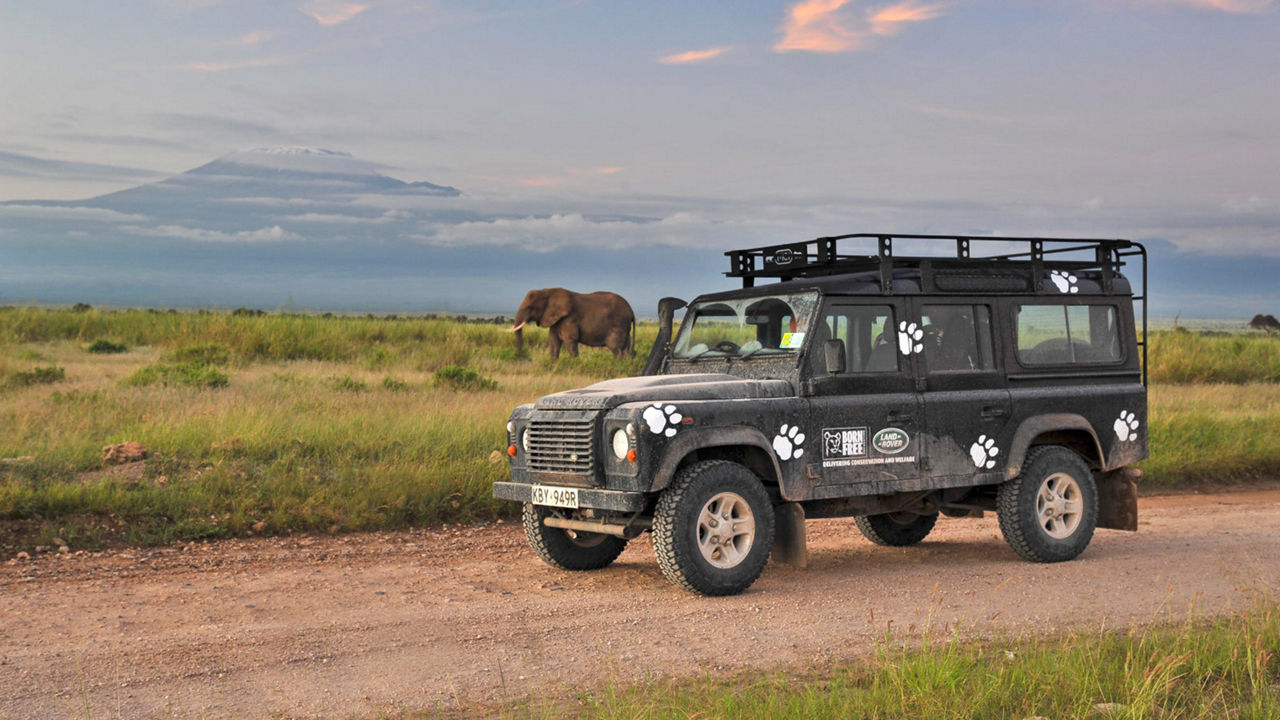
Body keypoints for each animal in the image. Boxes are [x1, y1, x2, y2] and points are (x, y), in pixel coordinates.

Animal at [504, 286, 634, 356]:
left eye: (531, 307)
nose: (523, 355)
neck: (547, 291)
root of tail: (631, 311)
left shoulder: (569, 318)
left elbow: (570, 340)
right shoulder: (556, 319)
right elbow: (553, 342)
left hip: (618, 324)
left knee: (615, 348)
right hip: (625, 327)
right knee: (626, 348)